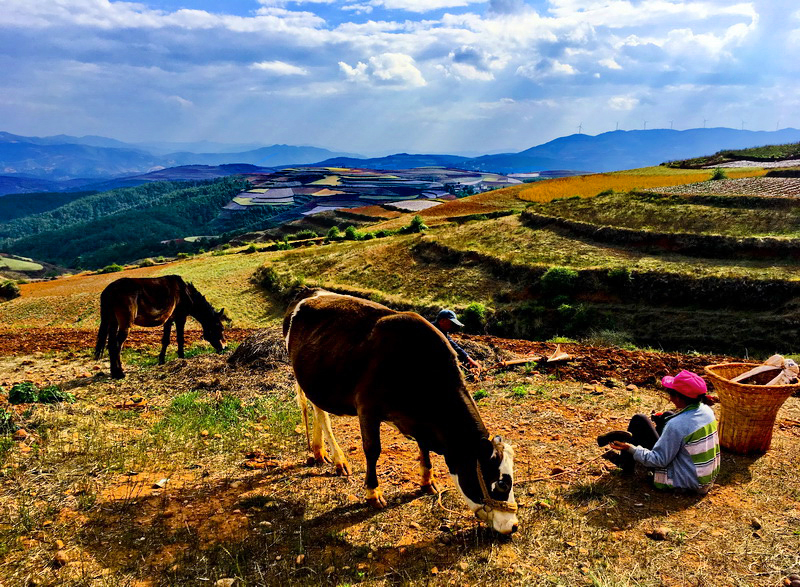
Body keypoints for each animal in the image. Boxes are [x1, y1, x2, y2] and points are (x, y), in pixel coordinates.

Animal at [284, 288, 520, 536]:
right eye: (501, 484)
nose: (513, 526)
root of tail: (310, 292)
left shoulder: (421, 422)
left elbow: (423, 447)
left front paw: (427, 481)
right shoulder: (367, 409)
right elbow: (373, 450)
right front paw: (373, 493)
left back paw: (319, 451)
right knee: (322, 416)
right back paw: (339, 461)